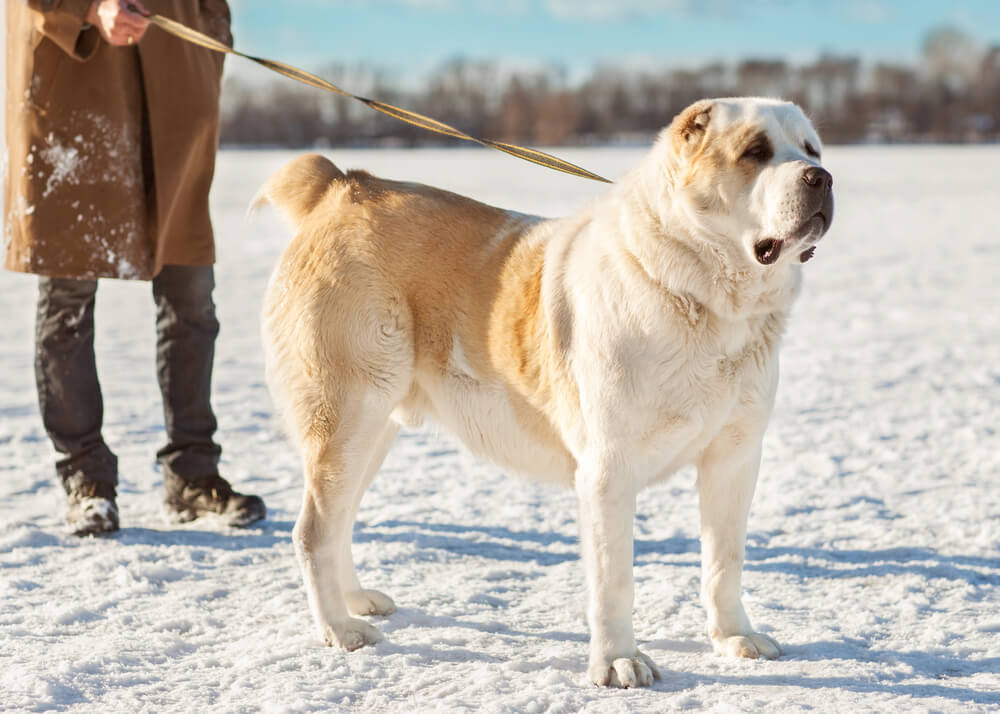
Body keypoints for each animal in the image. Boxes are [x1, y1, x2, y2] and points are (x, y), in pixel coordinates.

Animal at [254, 97, 832, 688]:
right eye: (755, 152)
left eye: (812, 150)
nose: (821, 178)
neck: (706, 300)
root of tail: (342, 186)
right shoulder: (608, 471)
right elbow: (614, 580)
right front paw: (619, 660)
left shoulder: (734, 459)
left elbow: (724, 561)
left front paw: (734, 637)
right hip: (346, 417)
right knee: (313, 531)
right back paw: (340, 629)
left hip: (372, 430)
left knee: (339, 520)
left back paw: (356, 602)